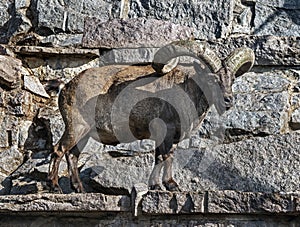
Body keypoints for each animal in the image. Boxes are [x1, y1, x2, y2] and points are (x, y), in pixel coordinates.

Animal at [48, 40, 254, 192]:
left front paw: (156, 185)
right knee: (59, 149)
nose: (228, 100)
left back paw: (79, 188)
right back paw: (55, 186)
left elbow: (161, 157)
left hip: (85, 133)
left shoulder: (168, 136)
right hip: (76, 125)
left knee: (72, 155)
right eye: (212, 79)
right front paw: (170, 185)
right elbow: (166, 156)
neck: (185, 90)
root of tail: (66, 88)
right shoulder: (165, 130)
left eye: (232, 79)